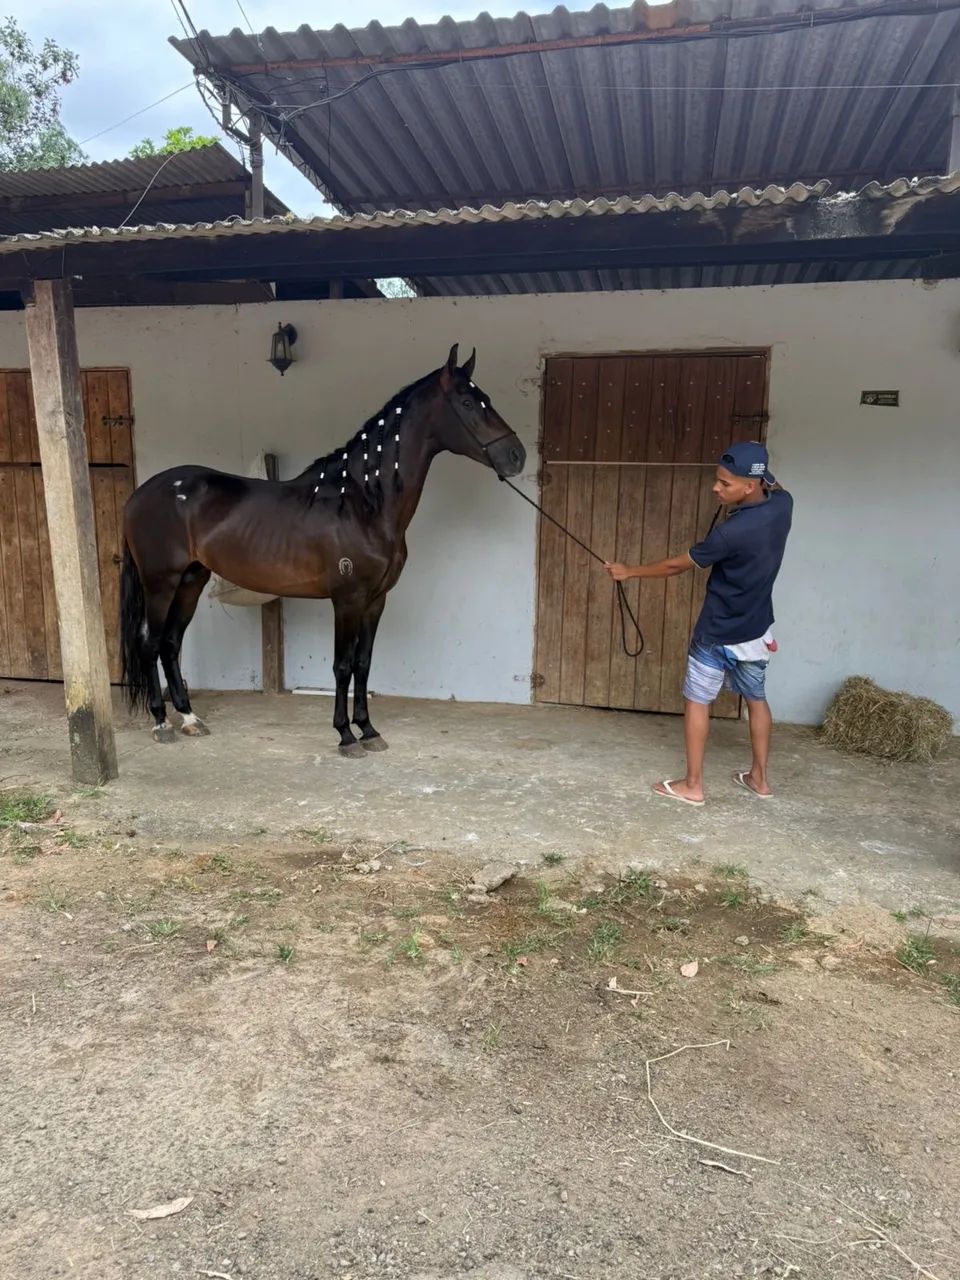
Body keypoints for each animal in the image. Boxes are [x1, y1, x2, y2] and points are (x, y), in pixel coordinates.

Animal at [119, 344, 526, 756]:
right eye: (467, 402)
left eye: (486, 399)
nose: (516, 456)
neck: (363, 504)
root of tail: (140, 494)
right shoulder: (347, 598)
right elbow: (342, 666)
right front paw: (346, 735)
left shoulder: (375, 599)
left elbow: (363, 663)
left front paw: (369, 730)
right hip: (161, 582)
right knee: (149, 642)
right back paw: (160, 724)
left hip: (191, 580)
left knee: (170, 644)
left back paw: (189, 719)